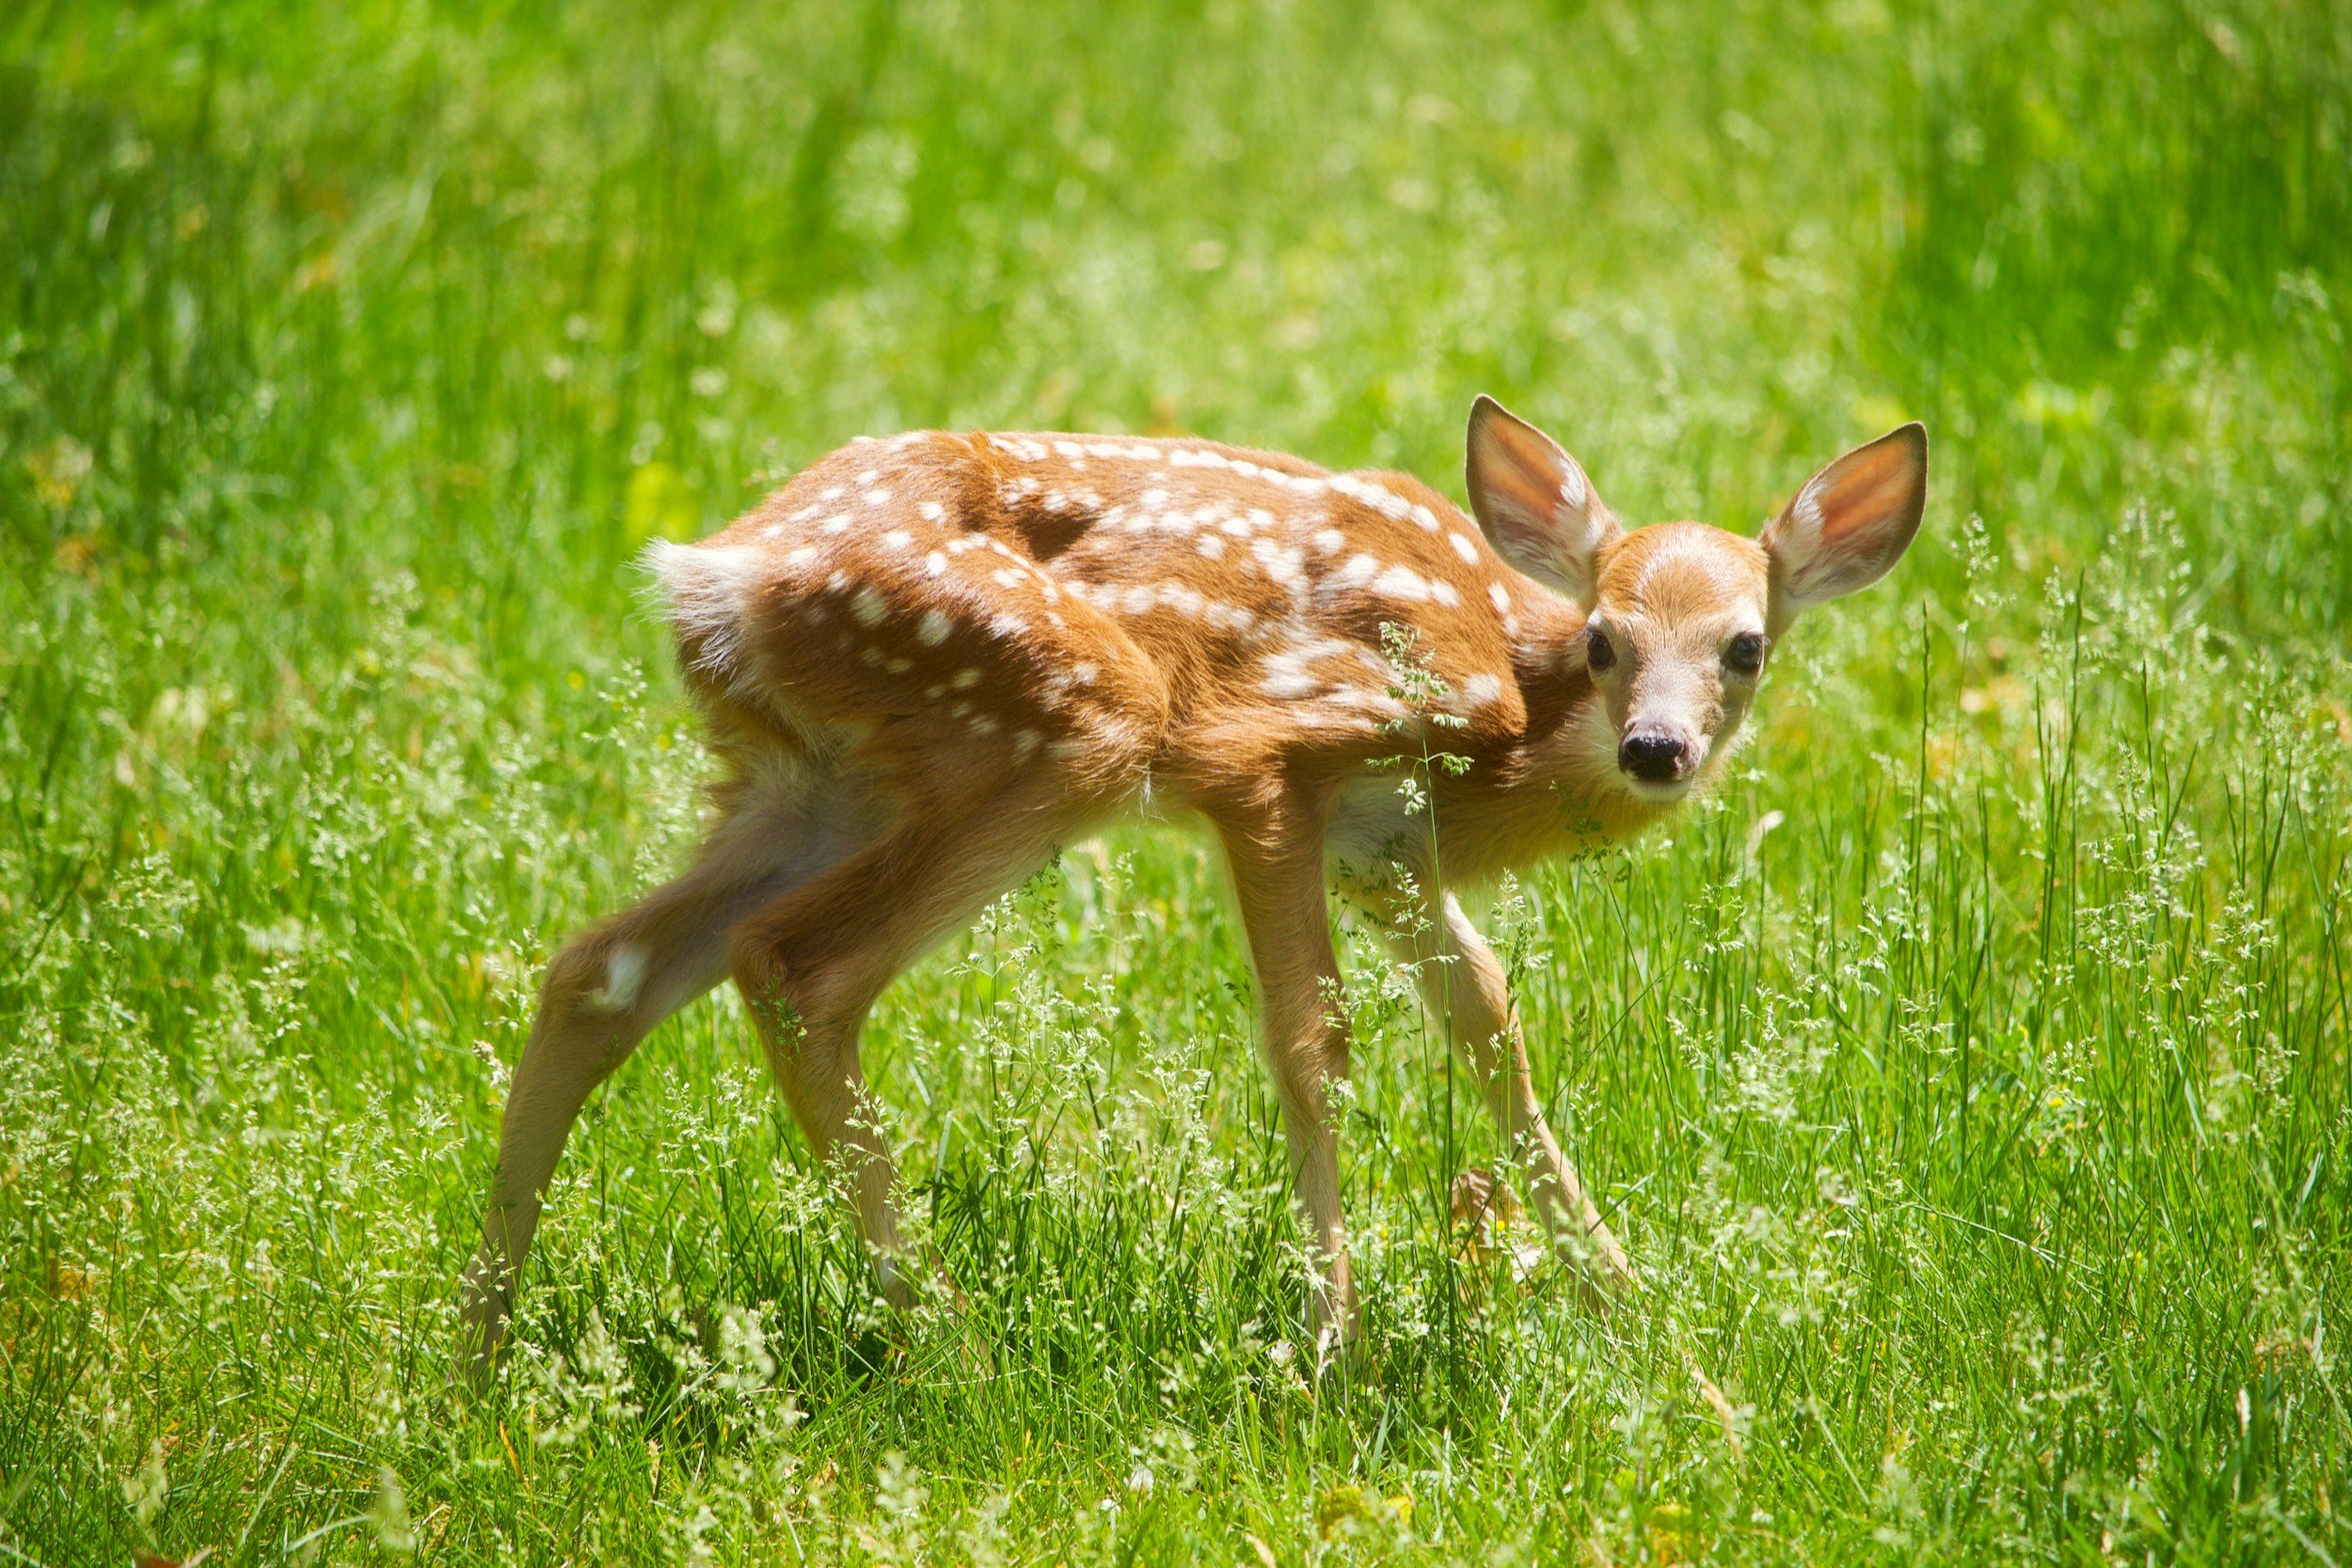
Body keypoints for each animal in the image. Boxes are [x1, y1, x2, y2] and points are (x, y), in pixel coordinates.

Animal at [458, 397, 1927, 1368]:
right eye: (1609, 637)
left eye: (1745, 645)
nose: (1657, 748)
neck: (1505, 704)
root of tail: (714, 575)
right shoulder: (1267, 757)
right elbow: (1312, 1034)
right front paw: (1333, 1348)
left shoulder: (1386, 843)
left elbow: (1489, 1020)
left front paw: (1642, 1321)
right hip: (1060, 719)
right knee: (797, 966)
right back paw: (953, 1347)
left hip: (821, 776)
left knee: (604, 966)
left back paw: (478, 1345)